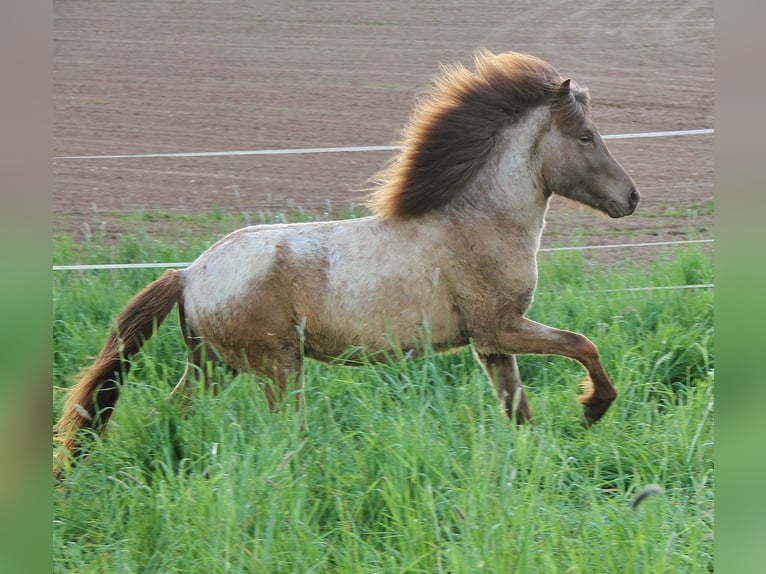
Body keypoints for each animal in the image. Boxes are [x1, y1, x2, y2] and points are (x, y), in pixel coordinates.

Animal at [54, 49, 640, 474]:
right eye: (585, 136)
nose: (631, 198)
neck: (479, 221)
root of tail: (190, 273)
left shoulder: (491, 345)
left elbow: (519, 412)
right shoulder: (501, 327)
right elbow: (582, 344)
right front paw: (593, 408)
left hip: (213, 367)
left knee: (165, 415)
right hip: (276, 369)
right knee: (286, 435)